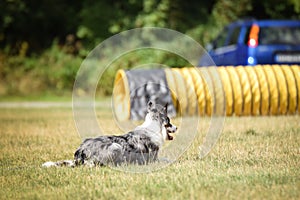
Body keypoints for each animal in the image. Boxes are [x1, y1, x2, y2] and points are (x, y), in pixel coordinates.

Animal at [43, 101, 177, 168]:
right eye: (169, 121)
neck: (152, 128)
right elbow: (167, 159)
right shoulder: (153, 159)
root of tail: (81, 151)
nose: (176, 127)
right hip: (115, 147)